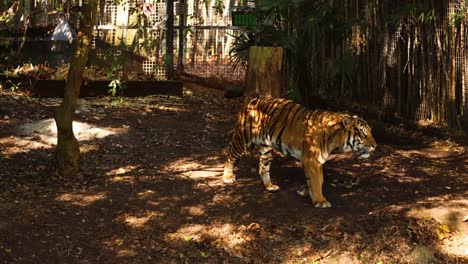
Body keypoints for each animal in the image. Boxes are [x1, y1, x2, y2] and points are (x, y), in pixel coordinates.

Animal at [223, 97, 376, 208]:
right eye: (363, 133)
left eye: (370, 132)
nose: (375, 146)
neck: (335, 139)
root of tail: (251, 101)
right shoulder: (311, 160)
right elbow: (316, 180)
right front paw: (320, 201)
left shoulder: (319, 161)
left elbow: (319, 179)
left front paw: (309, 193)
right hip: (242, 139)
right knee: (230, 157)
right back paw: (227, 177)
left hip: (266, 149)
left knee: (262, 167)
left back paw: (270, 186)